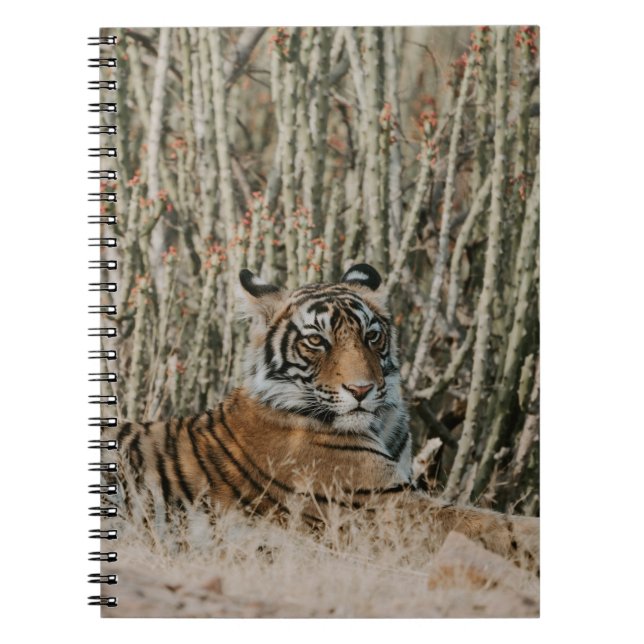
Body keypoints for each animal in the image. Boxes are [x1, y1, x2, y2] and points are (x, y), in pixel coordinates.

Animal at [111, 263, 539, 562]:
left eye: (372, 336)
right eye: (317, 341)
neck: (381, 424)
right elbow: (495, 526)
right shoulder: (386, 507)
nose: (362, 390)